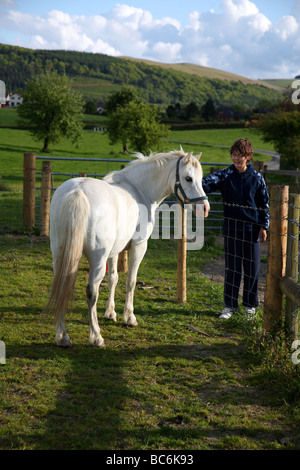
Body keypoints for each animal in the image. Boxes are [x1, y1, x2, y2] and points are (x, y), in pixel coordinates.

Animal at [46, 149, 209, 346]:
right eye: (188, 178)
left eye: (200, 178)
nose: (204, 208)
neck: (139, 190)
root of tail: (78, 191)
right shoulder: (139, 246)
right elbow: (131, 281)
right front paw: (129, 317)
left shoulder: (114, 251)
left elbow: (113, 278)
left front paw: (110, 313)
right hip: (97, 260)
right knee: (91, 292)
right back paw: (96, 336)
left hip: (60, 254)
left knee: (61, 284)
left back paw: (62, 336)